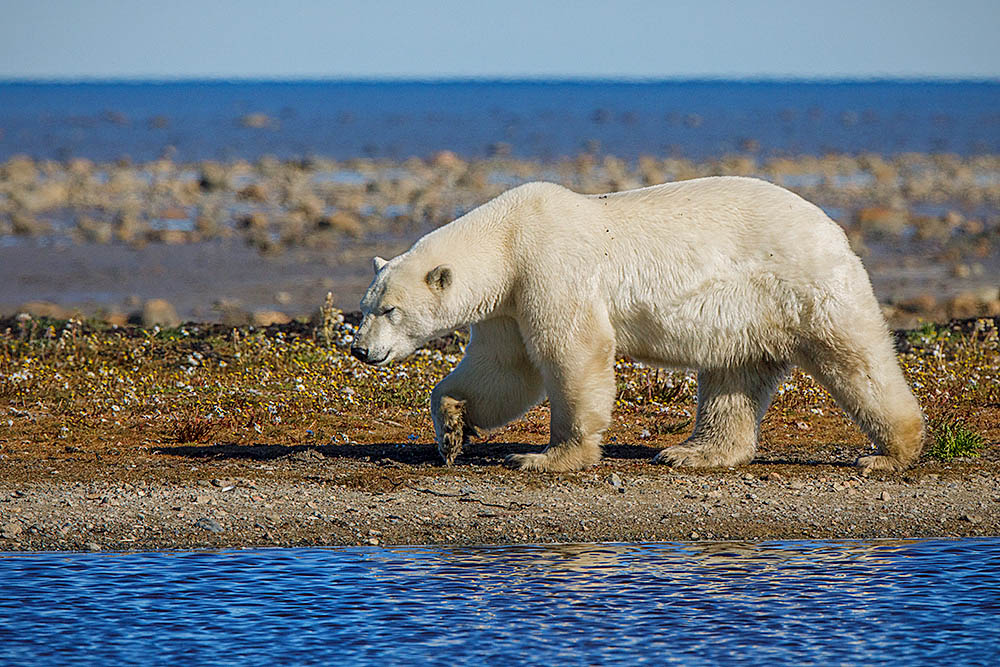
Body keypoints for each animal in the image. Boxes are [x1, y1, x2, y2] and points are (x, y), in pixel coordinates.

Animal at [350, 177, 920, 474]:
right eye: (365, 306)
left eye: (389, 310)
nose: (360, 351)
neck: (508, 237)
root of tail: (831, 226)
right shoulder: (507, 304)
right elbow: (505, 371)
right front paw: (453, 431)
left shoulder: (548, 268)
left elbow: (571, 352)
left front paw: (547, 456)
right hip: (747, 313)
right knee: (733, 375)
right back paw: (694, 452)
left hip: (800, 285)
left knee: (855, 356)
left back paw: (891, 453)